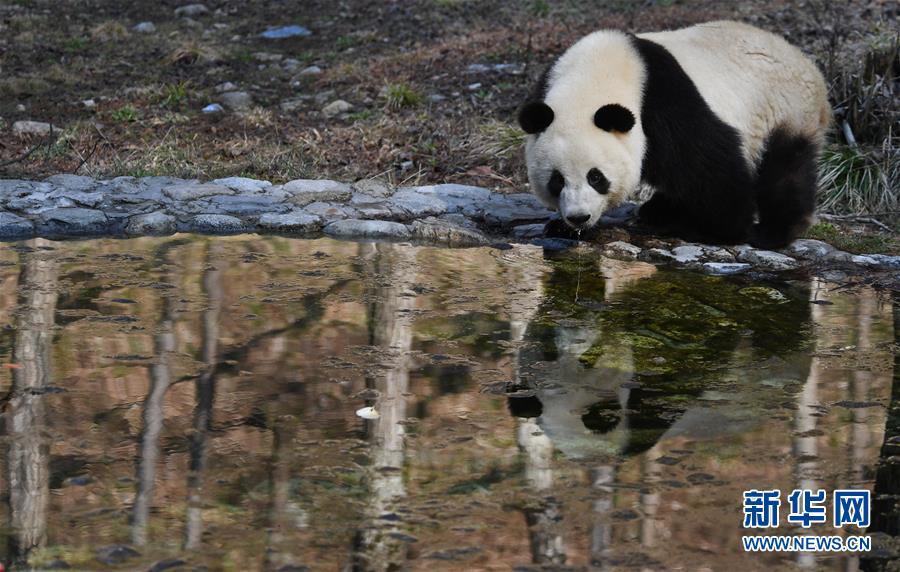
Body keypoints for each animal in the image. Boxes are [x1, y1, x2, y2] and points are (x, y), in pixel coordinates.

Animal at [516, 20, 832, 248]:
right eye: (557, 180)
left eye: (596, 177)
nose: (579, 217)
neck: (592, 80)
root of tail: (811, 69)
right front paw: (560, 226)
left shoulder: (664, 103)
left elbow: (710, 165)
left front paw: (723, 230)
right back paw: (658, 210)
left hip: (786, 111)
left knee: (784, 171)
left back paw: (772, 232)